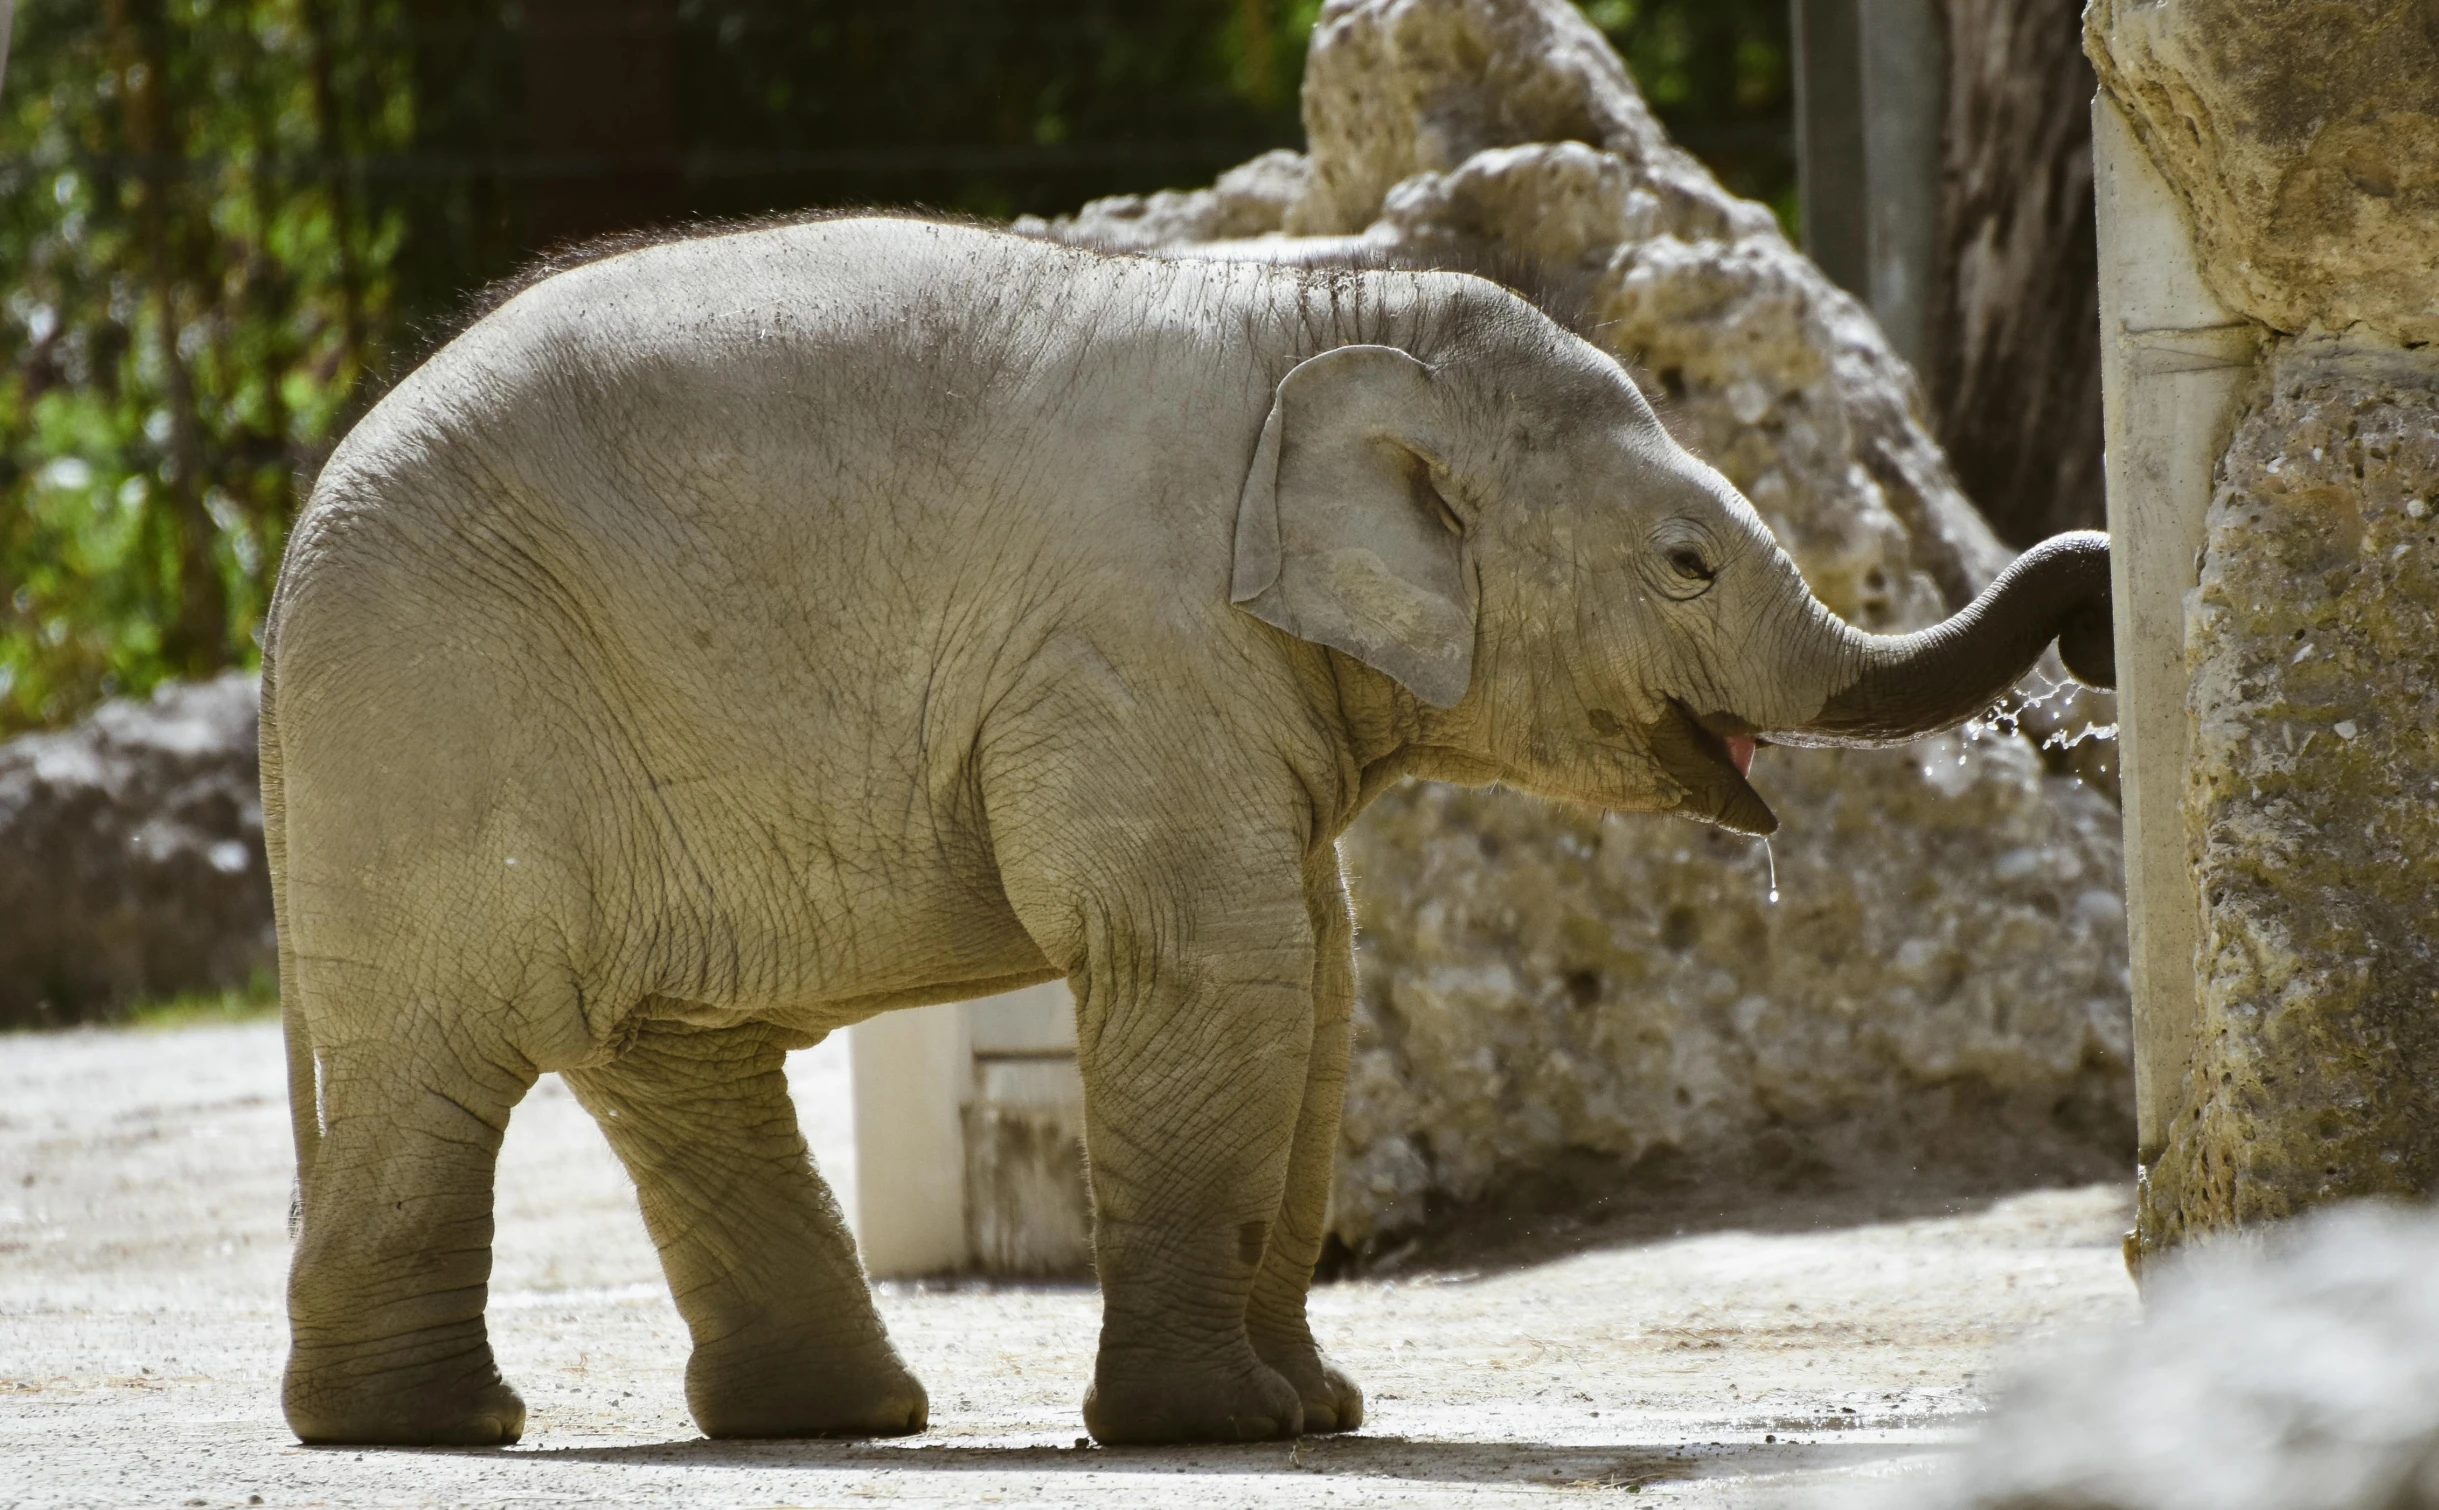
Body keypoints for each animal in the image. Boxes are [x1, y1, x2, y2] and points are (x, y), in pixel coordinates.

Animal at [262, 212, 2117, 1453]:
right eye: (1683, 564)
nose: (2096, 605)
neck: (1322, 313)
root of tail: (291, 544)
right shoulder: (1133, 644)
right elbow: (1216, 964)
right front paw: (1218, 1430)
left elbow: (1320, 980)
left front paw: (1320, 1410)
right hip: (436, 711)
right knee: (443, 1056)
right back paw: (430, 1431)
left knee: (675, 1063)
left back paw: (831, 1420)